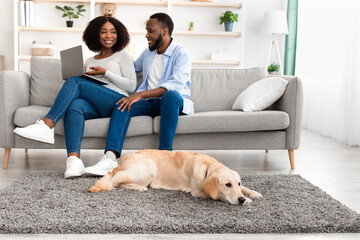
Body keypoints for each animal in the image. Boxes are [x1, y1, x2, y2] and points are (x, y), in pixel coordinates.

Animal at [87, 150, 262, 204]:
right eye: (227, 185)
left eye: (237, 183)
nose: (241, 199)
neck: (208, 167)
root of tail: (123, 160)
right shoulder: (198, 192)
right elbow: (217, 195)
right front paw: (247, 199)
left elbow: (247, 188)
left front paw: (252, 193)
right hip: (147, 169)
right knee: (116, 180)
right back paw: (139, 187)